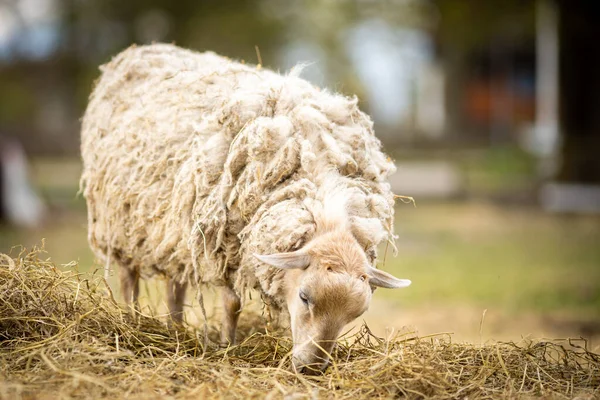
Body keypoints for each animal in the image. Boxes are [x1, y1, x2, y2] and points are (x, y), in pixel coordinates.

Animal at [79, 42, 410, 374]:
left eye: (355, 314)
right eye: (304, 297)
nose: (312, 368)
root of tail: (140, 50)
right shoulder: (226, 244)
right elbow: (232, 303)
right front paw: (229, 346)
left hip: (176, 232)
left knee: (175, 285)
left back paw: (176, 329)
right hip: (120, 222)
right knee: (128, 280)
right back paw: (132, 321)